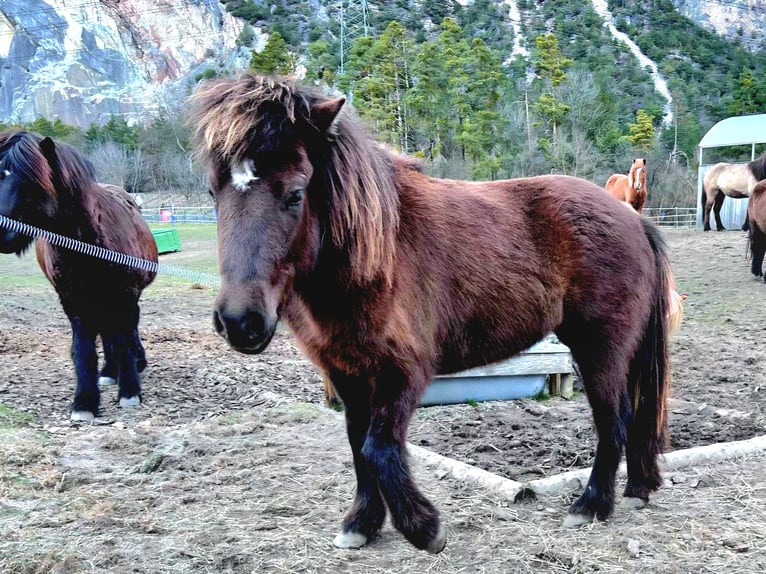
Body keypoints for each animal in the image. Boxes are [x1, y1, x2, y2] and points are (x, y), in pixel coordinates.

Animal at [0, 130, 158, 422]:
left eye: (32, 181)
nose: (1, 231)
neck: (87, 245)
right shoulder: (73, 301)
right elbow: (84, 351)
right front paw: (84, 402)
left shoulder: (124, 294)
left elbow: (123, 339)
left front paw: (130, 391)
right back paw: (109, 371)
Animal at [189, 73, 671, 554]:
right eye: (213, 192)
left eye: (295, 194)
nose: (240, 321)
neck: (378, 254)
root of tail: (633, 219)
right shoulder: (347, 372)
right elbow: (357, 444)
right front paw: (362, 523)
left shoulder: (402, 372)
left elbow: (378, 448)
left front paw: (423, 527)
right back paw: (635, 490)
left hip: (599, 348)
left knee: (613, 419)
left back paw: (591, 506)